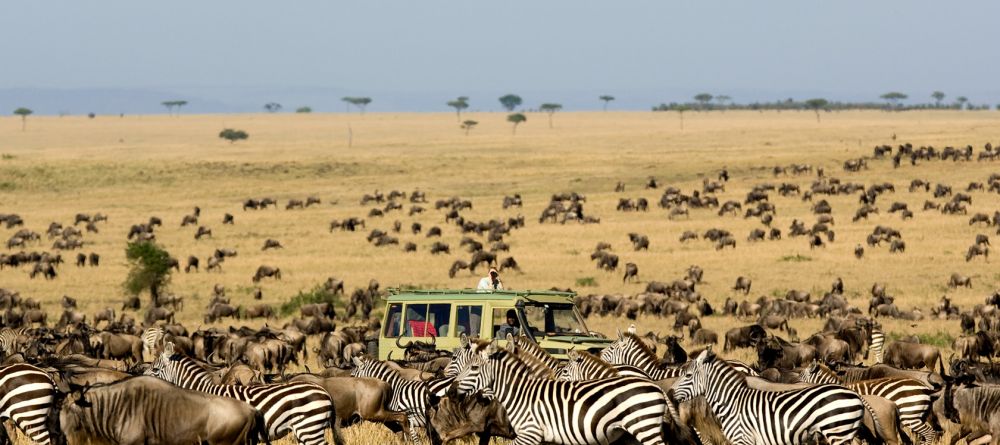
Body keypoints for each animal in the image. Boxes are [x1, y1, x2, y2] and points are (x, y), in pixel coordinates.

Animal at [672, 346, 868, 444]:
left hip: (838, 432)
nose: (670, 392)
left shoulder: (743, 439)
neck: (732, 402)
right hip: (845, 433)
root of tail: (855, 394)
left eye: (687, 375)